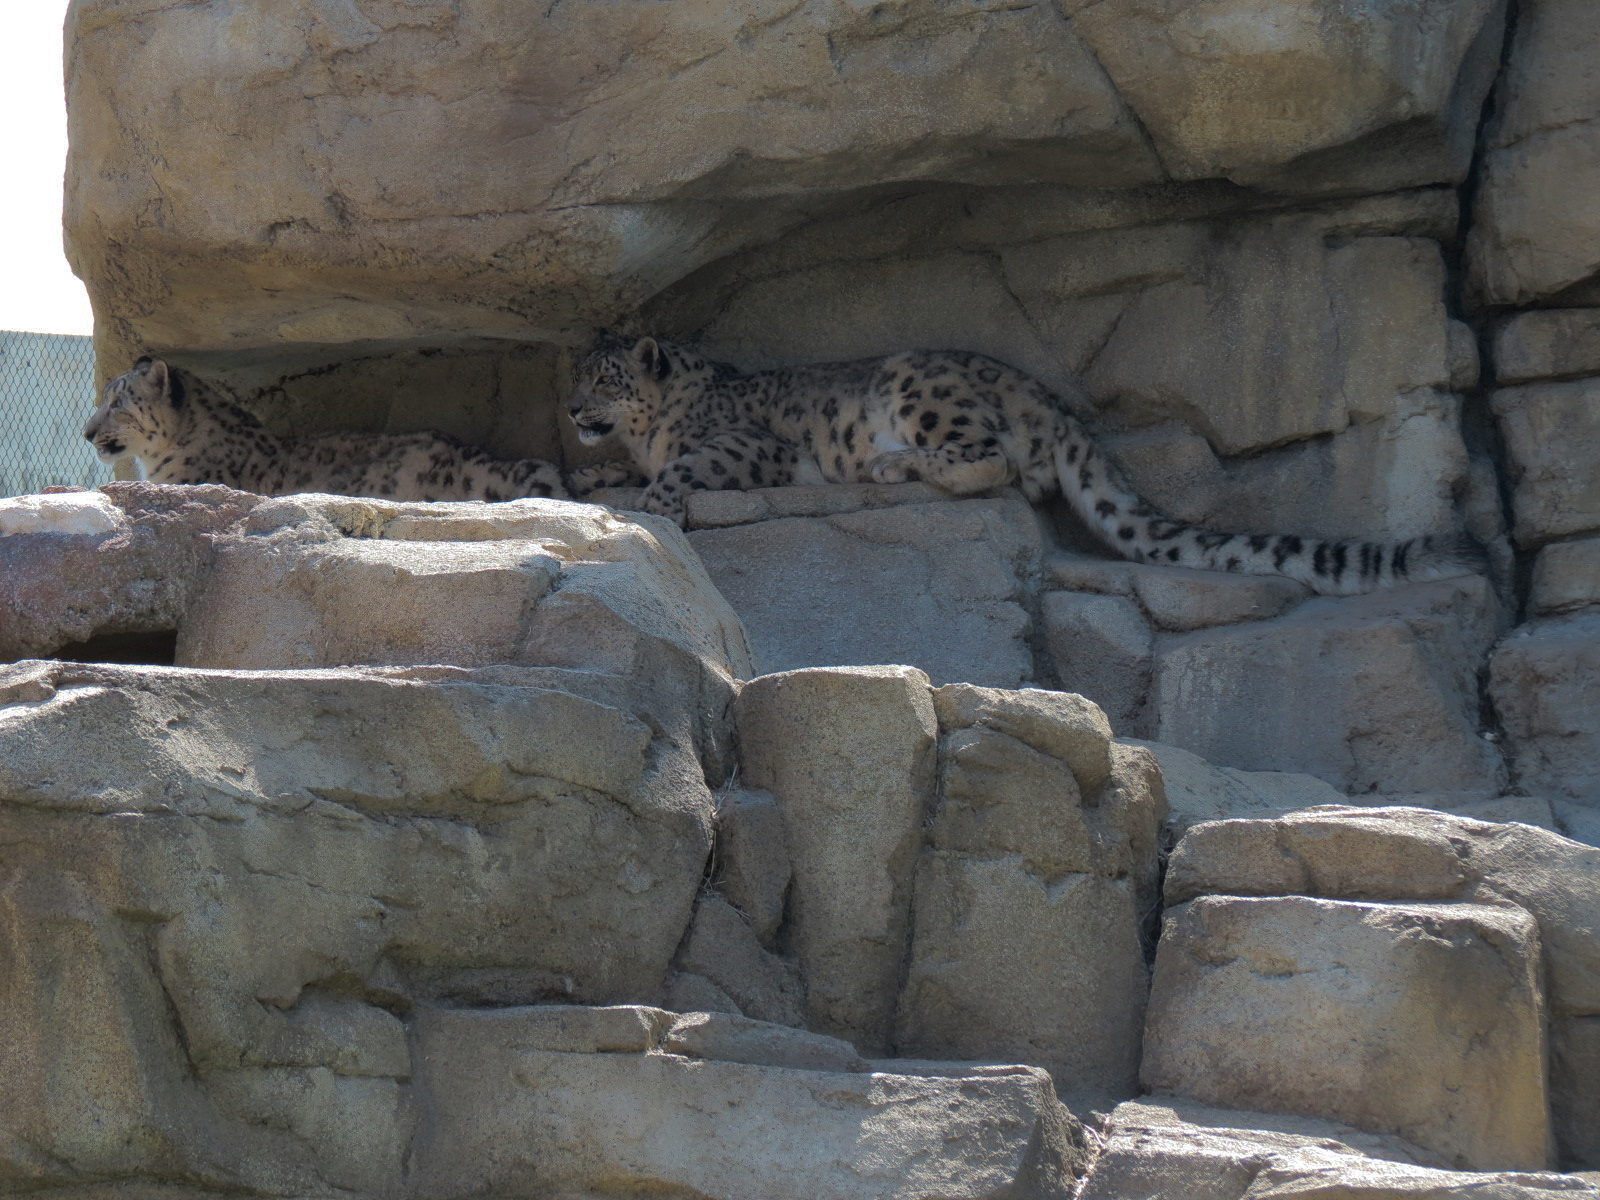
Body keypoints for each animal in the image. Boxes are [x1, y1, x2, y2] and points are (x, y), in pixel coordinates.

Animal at [565, 332, 1483, 597]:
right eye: (575, 373)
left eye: (606, 377)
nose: (572, 413)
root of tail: (1050, 401)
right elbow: (609, 473)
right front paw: (590, 477)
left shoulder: (750, 444)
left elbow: (683, 467)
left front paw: (653, 503)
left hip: (920, 388)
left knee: (997, 459)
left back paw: (894, 469)